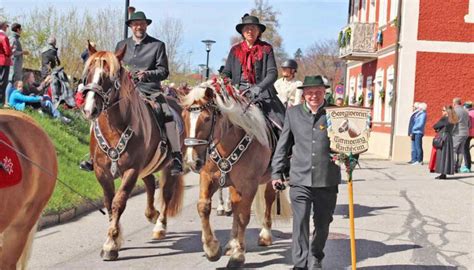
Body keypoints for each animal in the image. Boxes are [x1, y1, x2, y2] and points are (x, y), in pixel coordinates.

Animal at [80, 45, 184, 260]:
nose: (89, 110)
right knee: (151, 184)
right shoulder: (102, 172)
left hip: (168, 166)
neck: (114, 128)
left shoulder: (131, 170)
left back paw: (160, 225)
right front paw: (115, 237)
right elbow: (109, 202)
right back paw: (151, 214)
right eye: (88, 73)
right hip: (146, 167)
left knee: (166, 193)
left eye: (109, 76)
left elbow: (118, 202)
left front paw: (111, 244)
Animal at [182, 78, 290, 268]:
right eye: (183, 117)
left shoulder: (248, 185)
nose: (192, 162)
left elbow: (243, 217)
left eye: (207, 118)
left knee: (268, 200)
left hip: (269, 178)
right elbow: (203, 207)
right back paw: (231, 244)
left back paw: (265, 235)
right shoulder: (209, 178)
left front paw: (238, 255)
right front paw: (212, 249)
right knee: (235, 205)